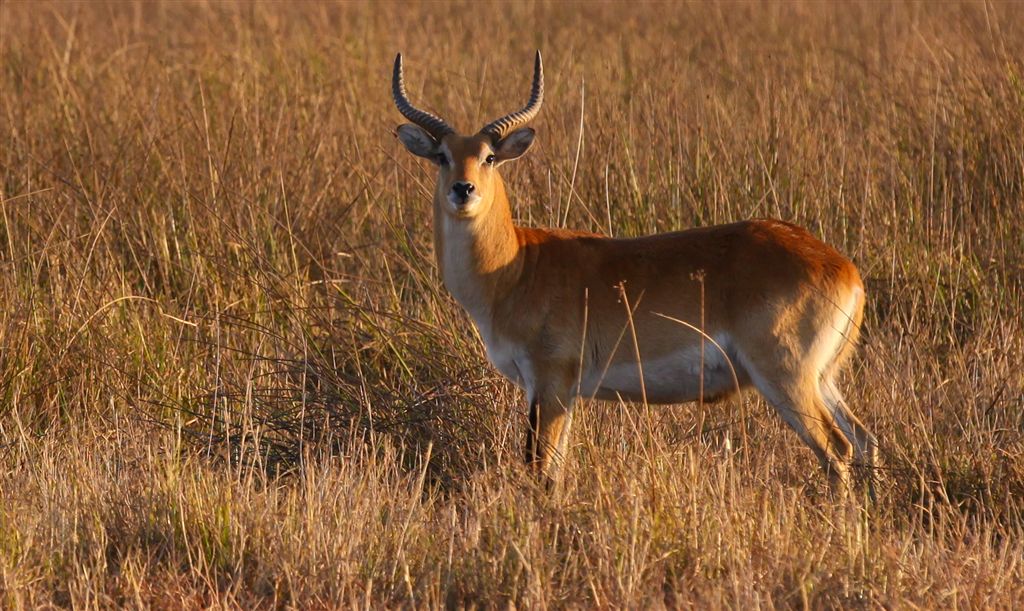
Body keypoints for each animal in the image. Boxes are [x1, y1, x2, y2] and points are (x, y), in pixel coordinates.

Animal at [391, 51, 880, 491]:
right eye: (442, 156)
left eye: (489, 157)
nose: (463, 190)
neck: (516, 267)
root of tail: (844, 269)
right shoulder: (563, 393)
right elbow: (555, 470)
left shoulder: (549, 381)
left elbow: (540, 470)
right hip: (822, 378)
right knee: (864, 439)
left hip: (786, 377)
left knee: (837, 448)